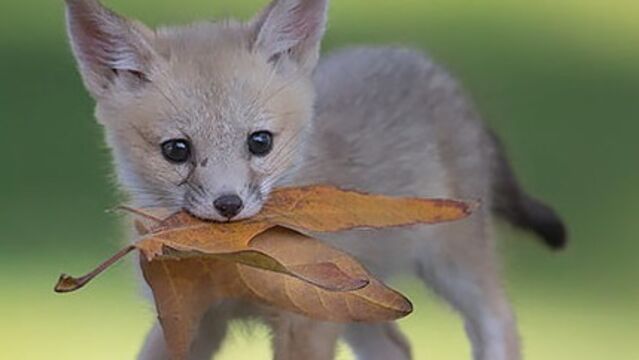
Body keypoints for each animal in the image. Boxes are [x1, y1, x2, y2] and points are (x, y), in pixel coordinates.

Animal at [63, 0, 564, 360]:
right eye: (176, 150)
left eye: (260, 142)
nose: (229, 205)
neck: (233, 265)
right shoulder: (190, 320)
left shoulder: (305, 322)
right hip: (367, 302)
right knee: (397, 347)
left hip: (455, 266)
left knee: (500, 325)